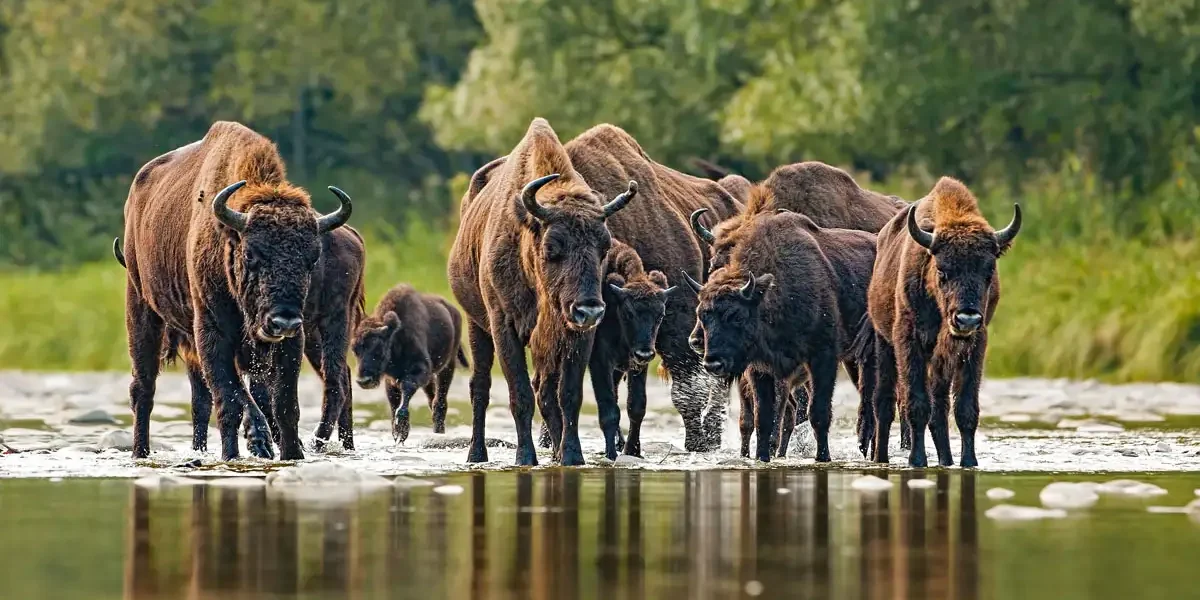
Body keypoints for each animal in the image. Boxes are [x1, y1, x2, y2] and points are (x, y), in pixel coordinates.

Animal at [118, 121, 352, 460]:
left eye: (312, 258)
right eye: (251, 254)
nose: (283, 321)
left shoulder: (291, 343)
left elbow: (284, 406)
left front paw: (291, 454)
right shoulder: (211, 333)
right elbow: (230, 400)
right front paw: (244, 448)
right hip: (141, 307)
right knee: (144, 388)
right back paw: (141, 452)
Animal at [352, 284, 468, 443]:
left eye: (379, 349)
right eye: (354, 349)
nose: (364, 381)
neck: (395, 337)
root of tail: (454, 311)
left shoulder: (420, 370)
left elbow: (407, 388)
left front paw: (401, 430)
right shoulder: (391, 379)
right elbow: (393, 400)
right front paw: (396, 431)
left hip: (448, 365)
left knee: (440, 402)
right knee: (432, 400)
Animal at [447, 118, 637, 466]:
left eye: (604, 246)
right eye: (552, 248)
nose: (589, 310)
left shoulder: (576, 336)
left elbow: (568, 395)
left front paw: (572, 455)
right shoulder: (503, 327)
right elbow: (519, 394)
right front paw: (525, 458)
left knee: (546, 393)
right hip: (476, 326)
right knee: (480, 387)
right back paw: (476, 453)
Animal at [865, 177, 1020, 468]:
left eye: (989, 271)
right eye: (942, 270)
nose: (966, 319)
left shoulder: (974, 346)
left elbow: (964, 409)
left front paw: (969, 461)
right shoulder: (909, 341)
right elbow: (916, 404)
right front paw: (917, 460)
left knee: (939, 410)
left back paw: (946, 460)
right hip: (884, 343)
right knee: (884, 402)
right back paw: (881, 458)